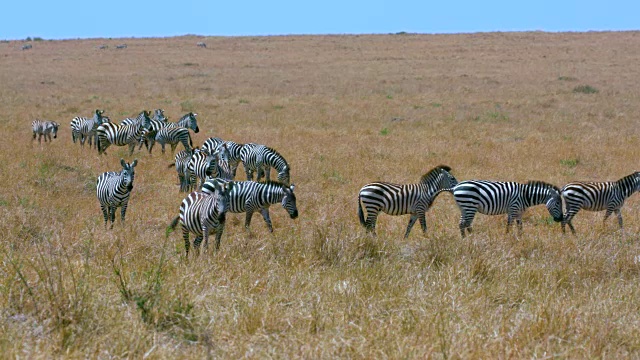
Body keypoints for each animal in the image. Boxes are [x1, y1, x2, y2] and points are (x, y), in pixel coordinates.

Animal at [436, 179, 564, 238]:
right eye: (558, 203)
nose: (560, 219)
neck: (525, 195)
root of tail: (455, 187)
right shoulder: (513, 209)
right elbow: (509, 225)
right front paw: (507, 237)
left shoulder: (519, 212)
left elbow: (520, 226)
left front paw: (521, 238)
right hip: (469, 205)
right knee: (465, 223)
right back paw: (472, 238)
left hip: (464, 207)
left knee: (462, 223)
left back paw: (467, 238)